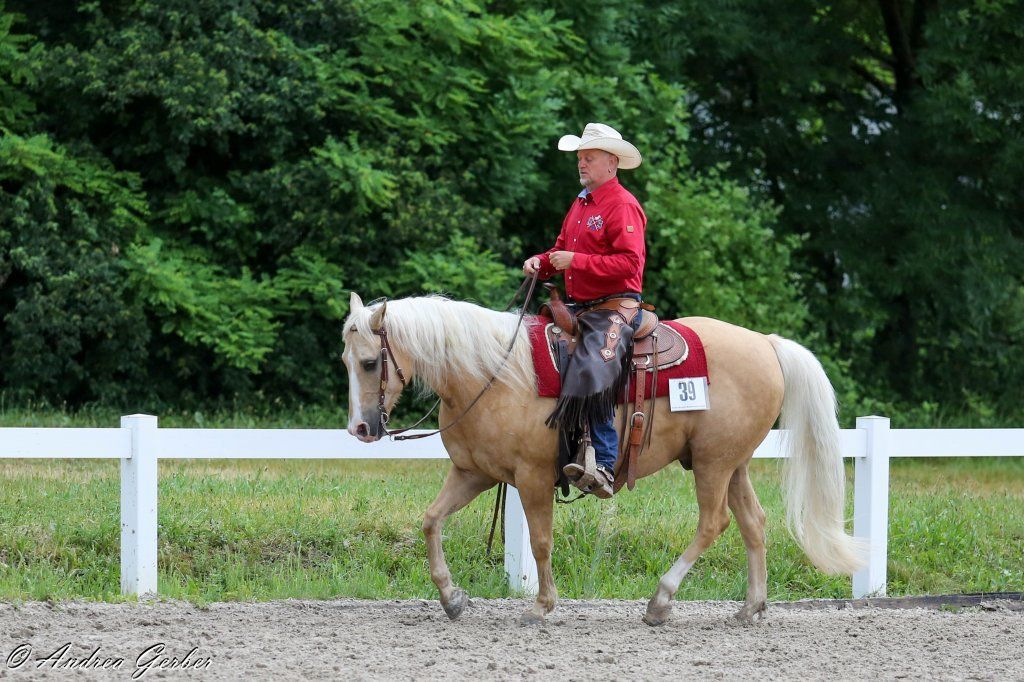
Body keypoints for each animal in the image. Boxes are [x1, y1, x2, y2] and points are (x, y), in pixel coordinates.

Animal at [342, 292, 865, 625]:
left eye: (370, 362)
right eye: (347, 361)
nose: (361, 430)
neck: (492, 373)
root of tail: (768, 344)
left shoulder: (532, 478)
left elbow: (541, 542)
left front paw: (542, 606)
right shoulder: (475, 473)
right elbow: (431, 521)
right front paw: (452, 598)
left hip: (714, 464)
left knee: (713, 523)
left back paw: (660, 601)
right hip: (731, 462)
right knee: (753, 522)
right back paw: (750, 608)